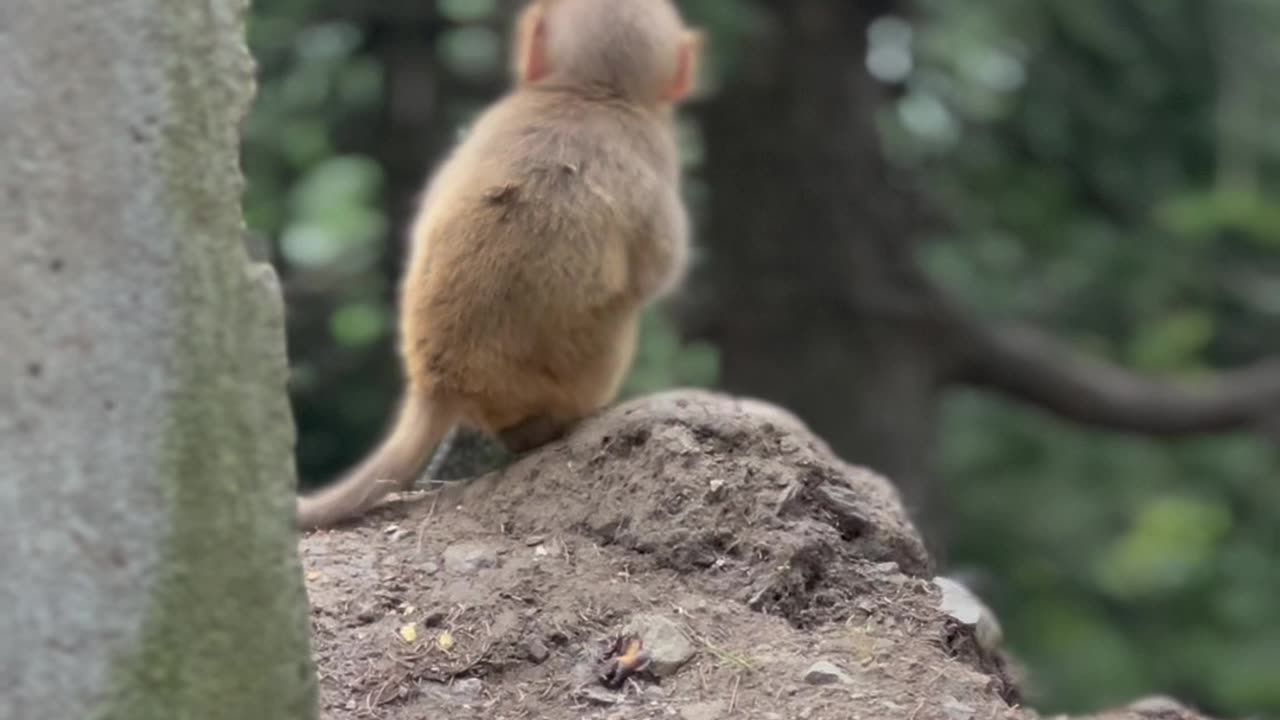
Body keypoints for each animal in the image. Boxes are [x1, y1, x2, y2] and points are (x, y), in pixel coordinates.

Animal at [295, 0, 701, 527]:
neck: (589, 92)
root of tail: (439, 384)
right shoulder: (656, 154)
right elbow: (657, 273)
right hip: (578, 374)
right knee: (619, 317)